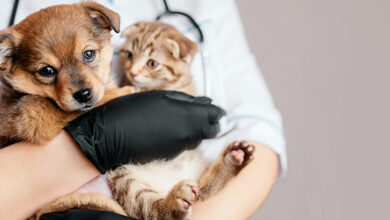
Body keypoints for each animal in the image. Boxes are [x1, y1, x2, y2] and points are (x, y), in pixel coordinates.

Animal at [109, 21, 256, 220]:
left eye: (152, 63)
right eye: (129, 54)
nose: (132, 72)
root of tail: (168, 185)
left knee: (204, 190)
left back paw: (235, 158)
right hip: (126, 179)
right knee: (152, 208)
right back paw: (173, 203)